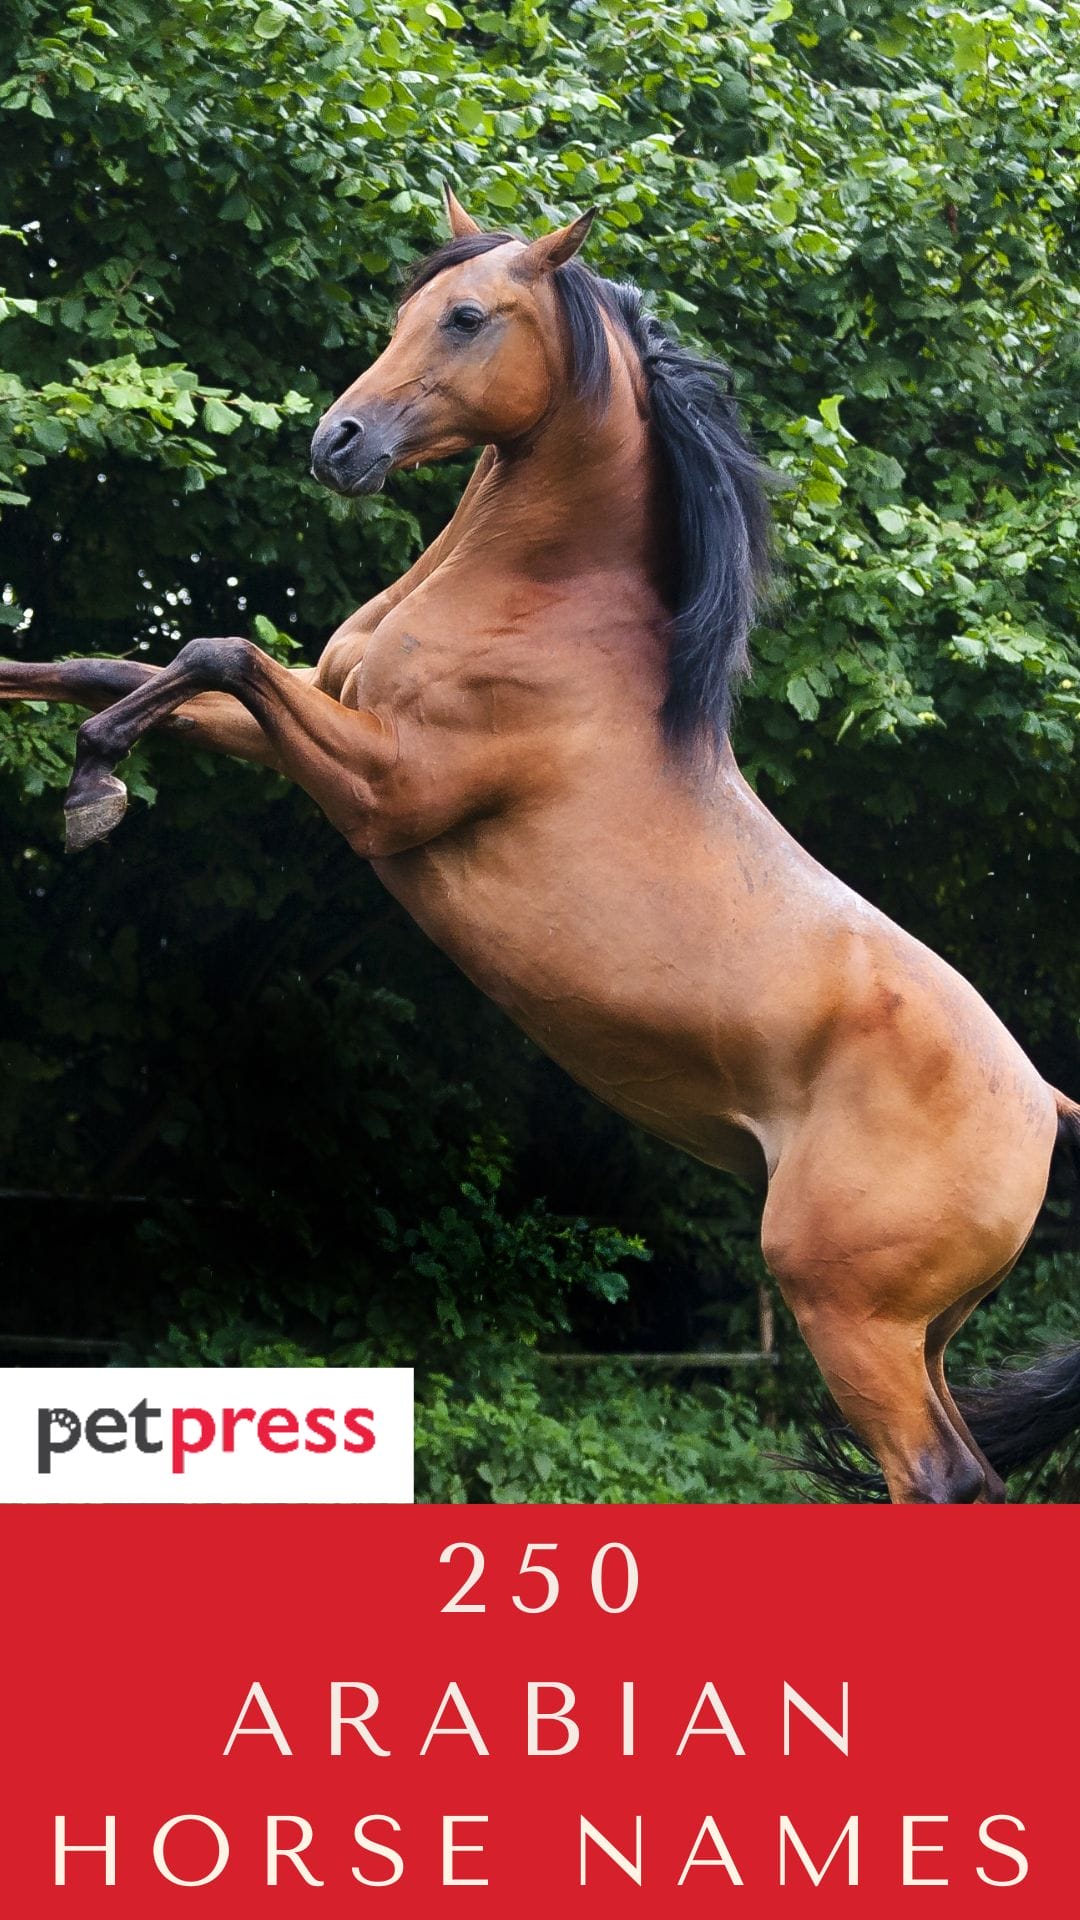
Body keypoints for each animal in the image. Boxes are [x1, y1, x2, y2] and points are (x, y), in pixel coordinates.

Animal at [3, 188, 1078, 1503]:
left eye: (467, 317)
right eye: (404, 310)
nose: (337, 442)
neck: (543, 611)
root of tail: (1048, 1107)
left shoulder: (384, 789)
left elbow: (215, 651)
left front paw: (91, 790)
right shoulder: (315, 719)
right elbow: (124, 666)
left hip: (848, 1315)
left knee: (936, 1480)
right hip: (922, 1335)